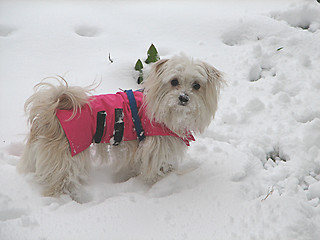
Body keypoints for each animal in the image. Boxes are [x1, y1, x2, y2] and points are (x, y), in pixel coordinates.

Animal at [16, 54, 222, 201]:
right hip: (66, 157)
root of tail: (51, 112)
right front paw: (164, 180)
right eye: (174, 81)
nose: (184, 98)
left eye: (197, 85)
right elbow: (155, 170)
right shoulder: (155, 149)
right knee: (57, 183)